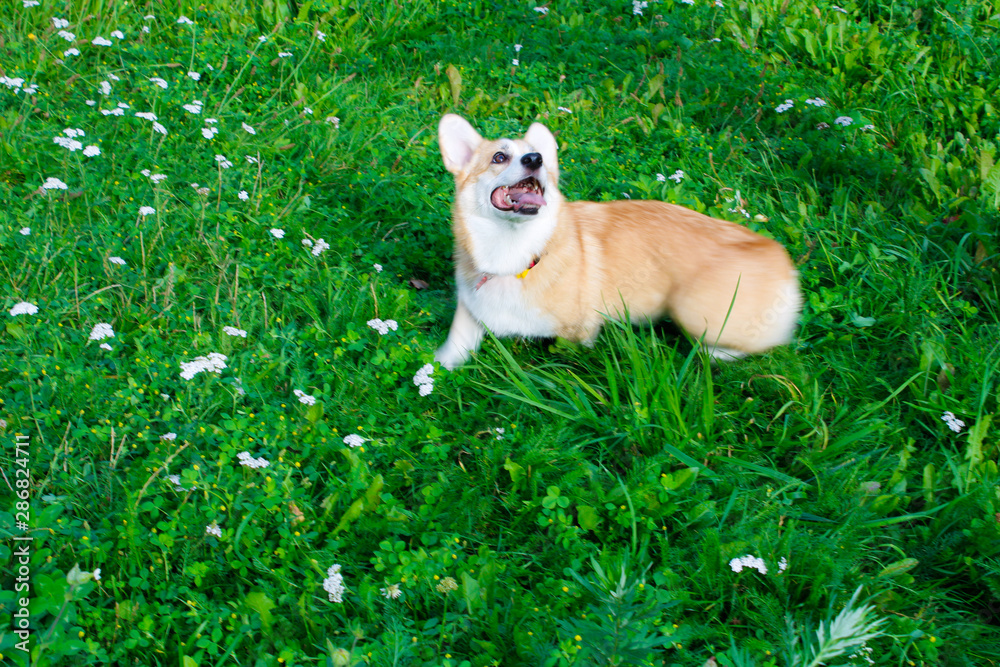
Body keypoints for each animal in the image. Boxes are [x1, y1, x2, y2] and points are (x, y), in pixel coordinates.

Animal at [434, 114, 800, 370]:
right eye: (499, 157)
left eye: (537, 157)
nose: (535, 159)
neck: (514, 256)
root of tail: (779, 257)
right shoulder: (470, 308)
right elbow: (454, 346)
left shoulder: (578, 333)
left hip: (693, 310)